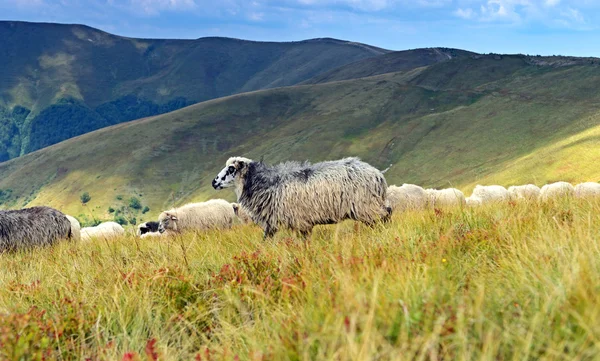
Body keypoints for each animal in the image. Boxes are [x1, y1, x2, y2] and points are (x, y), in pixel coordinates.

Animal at [213, 155, 392, 238]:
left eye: (231, 169)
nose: (214, 182)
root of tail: (377, 174)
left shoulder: (298, 221)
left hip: (367, 206)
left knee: (385, 216)